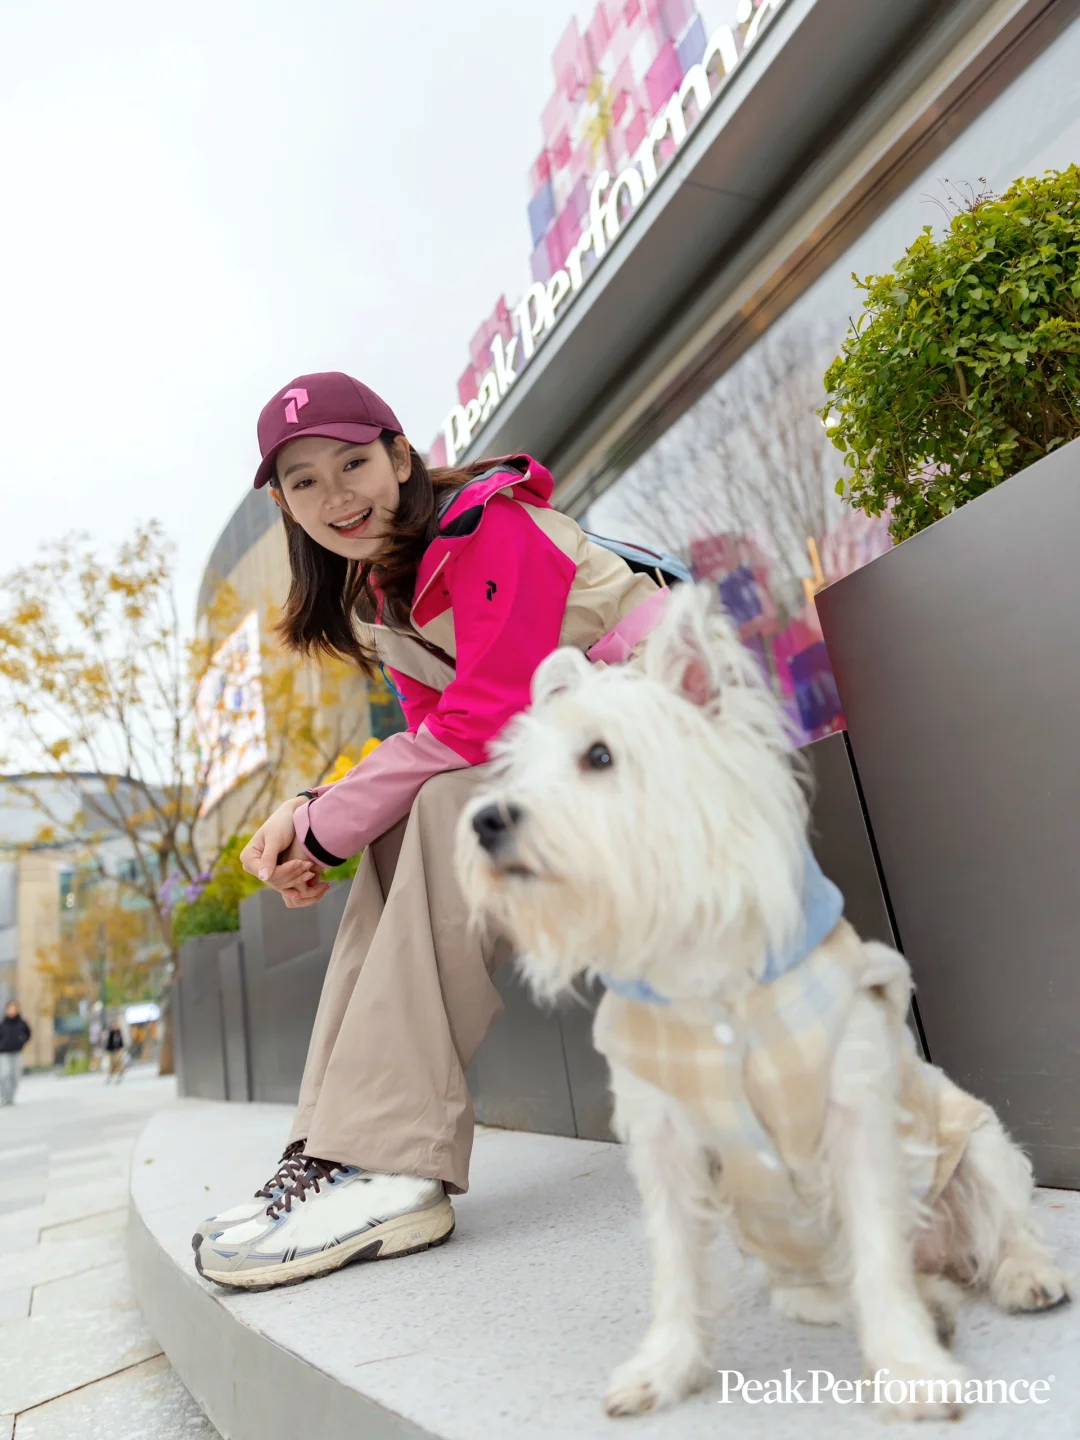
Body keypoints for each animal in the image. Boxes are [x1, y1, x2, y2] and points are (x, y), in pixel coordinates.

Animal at [457, 581, 1077, 1416]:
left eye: (599, 757)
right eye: (513, 772)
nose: (487, 821)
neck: (702, 974)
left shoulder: (855, 1116)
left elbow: (878, 1250)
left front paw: (909, 1370)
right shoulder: (663, 1139)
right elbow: (676, 1266)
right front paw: (664, 1367)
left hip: (976, 1143)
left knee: (1002, 1228)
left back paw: (1021, 1276)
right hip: (781, 1258)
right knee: (848, 1287)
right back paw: (937, 1301)